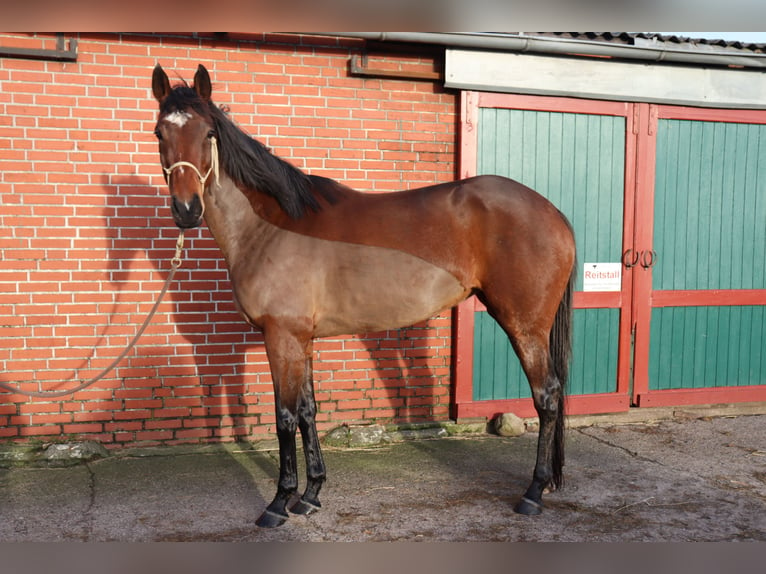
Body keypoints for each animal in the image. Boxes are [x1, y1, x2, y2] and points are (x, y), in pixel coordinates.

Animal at [150, 65, 576, 528]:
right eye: (159, 132)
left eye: (208, 132)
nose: (186, 210)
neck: (269, 226)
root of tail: (554, 213)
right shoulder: (301, 340)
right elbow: (307, 412)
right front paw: (311, 494)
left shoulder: (281, 338)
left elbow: (284, 418)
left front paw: (279, 502)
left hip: (525, 326)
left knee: (548, 397)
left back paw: (533, 492)